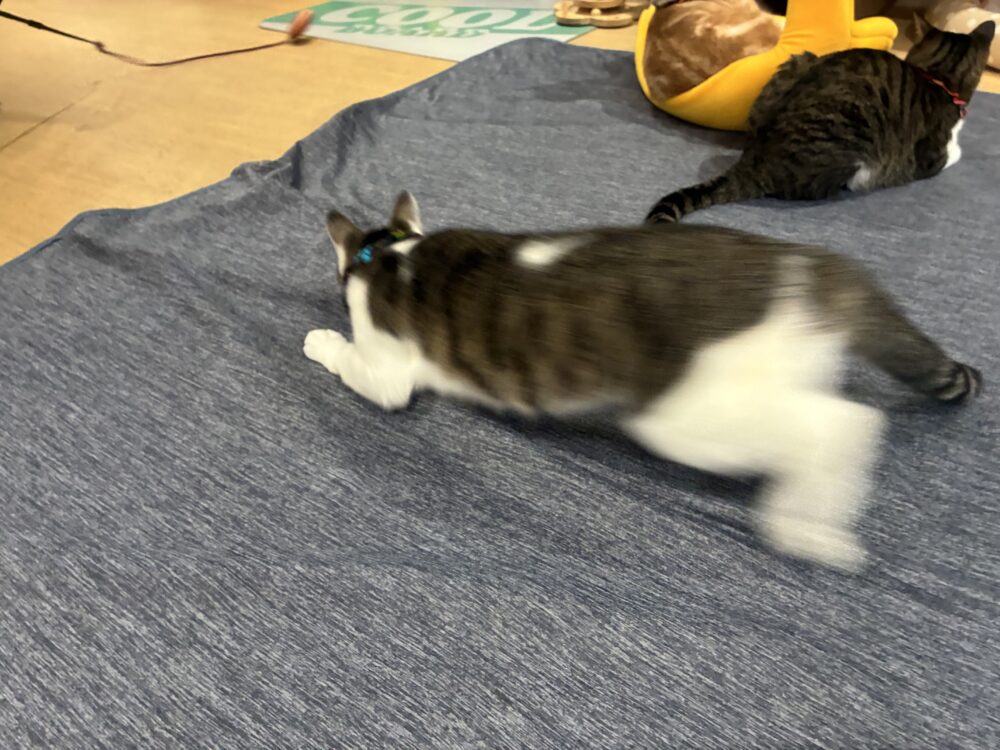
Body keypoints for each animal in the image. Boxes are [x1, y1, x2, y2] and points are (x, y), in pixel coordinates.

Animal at [304, 192, 981, 571]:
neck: (392, 251)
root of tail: (810, 264)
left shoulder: (388, 372)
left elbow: (357, 366)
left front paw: (321, 341)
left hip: (686, 416)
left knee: (848, 423)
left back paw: (806, 527)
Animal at [646, 18, 995, 223]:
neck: (937, 77)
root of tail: (754, 161)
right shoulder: (929, 155)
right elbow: (952, 152)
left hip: (800, 59)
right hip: (855, 138)